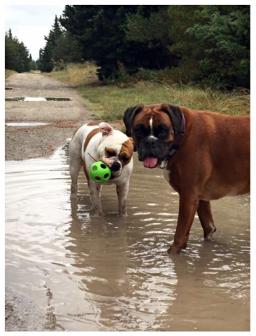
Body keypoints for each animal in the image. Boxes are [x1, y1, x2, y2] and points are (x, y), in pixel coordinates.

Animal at [124, 103, 250, 253]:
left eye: (163, 130)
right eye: (139, 130)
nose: (150, 141)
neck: (182, 136)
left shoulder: (188, 197)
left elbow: (179, 234)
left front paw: (172, 254)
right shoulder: (200, 199)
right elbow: (208, 228)